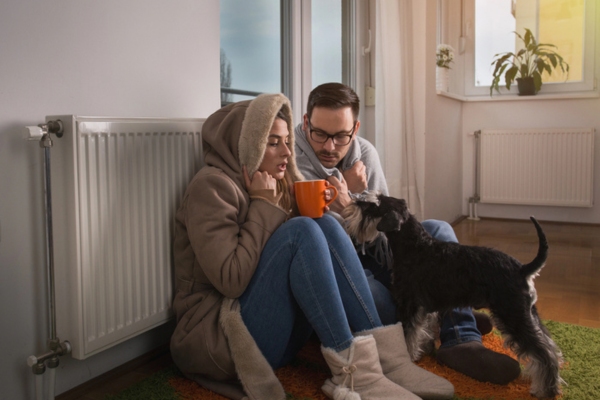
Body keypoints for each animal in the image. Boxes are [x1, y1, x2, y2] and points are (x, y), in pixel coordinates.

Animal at [344, 192, 564, 398]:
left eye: (372, 205)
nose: (350, 203)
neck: (414, 245)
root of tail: (522, 269)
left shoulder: (409, 305)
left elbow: (407, 335)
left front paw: (409, 357)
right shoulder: (424, 309)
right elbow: (420, 332)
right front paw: (421, 351)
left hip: (513, 315)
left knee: (544, 353)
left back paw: (547, 390)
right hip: (527, 313)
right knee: (549, 345)